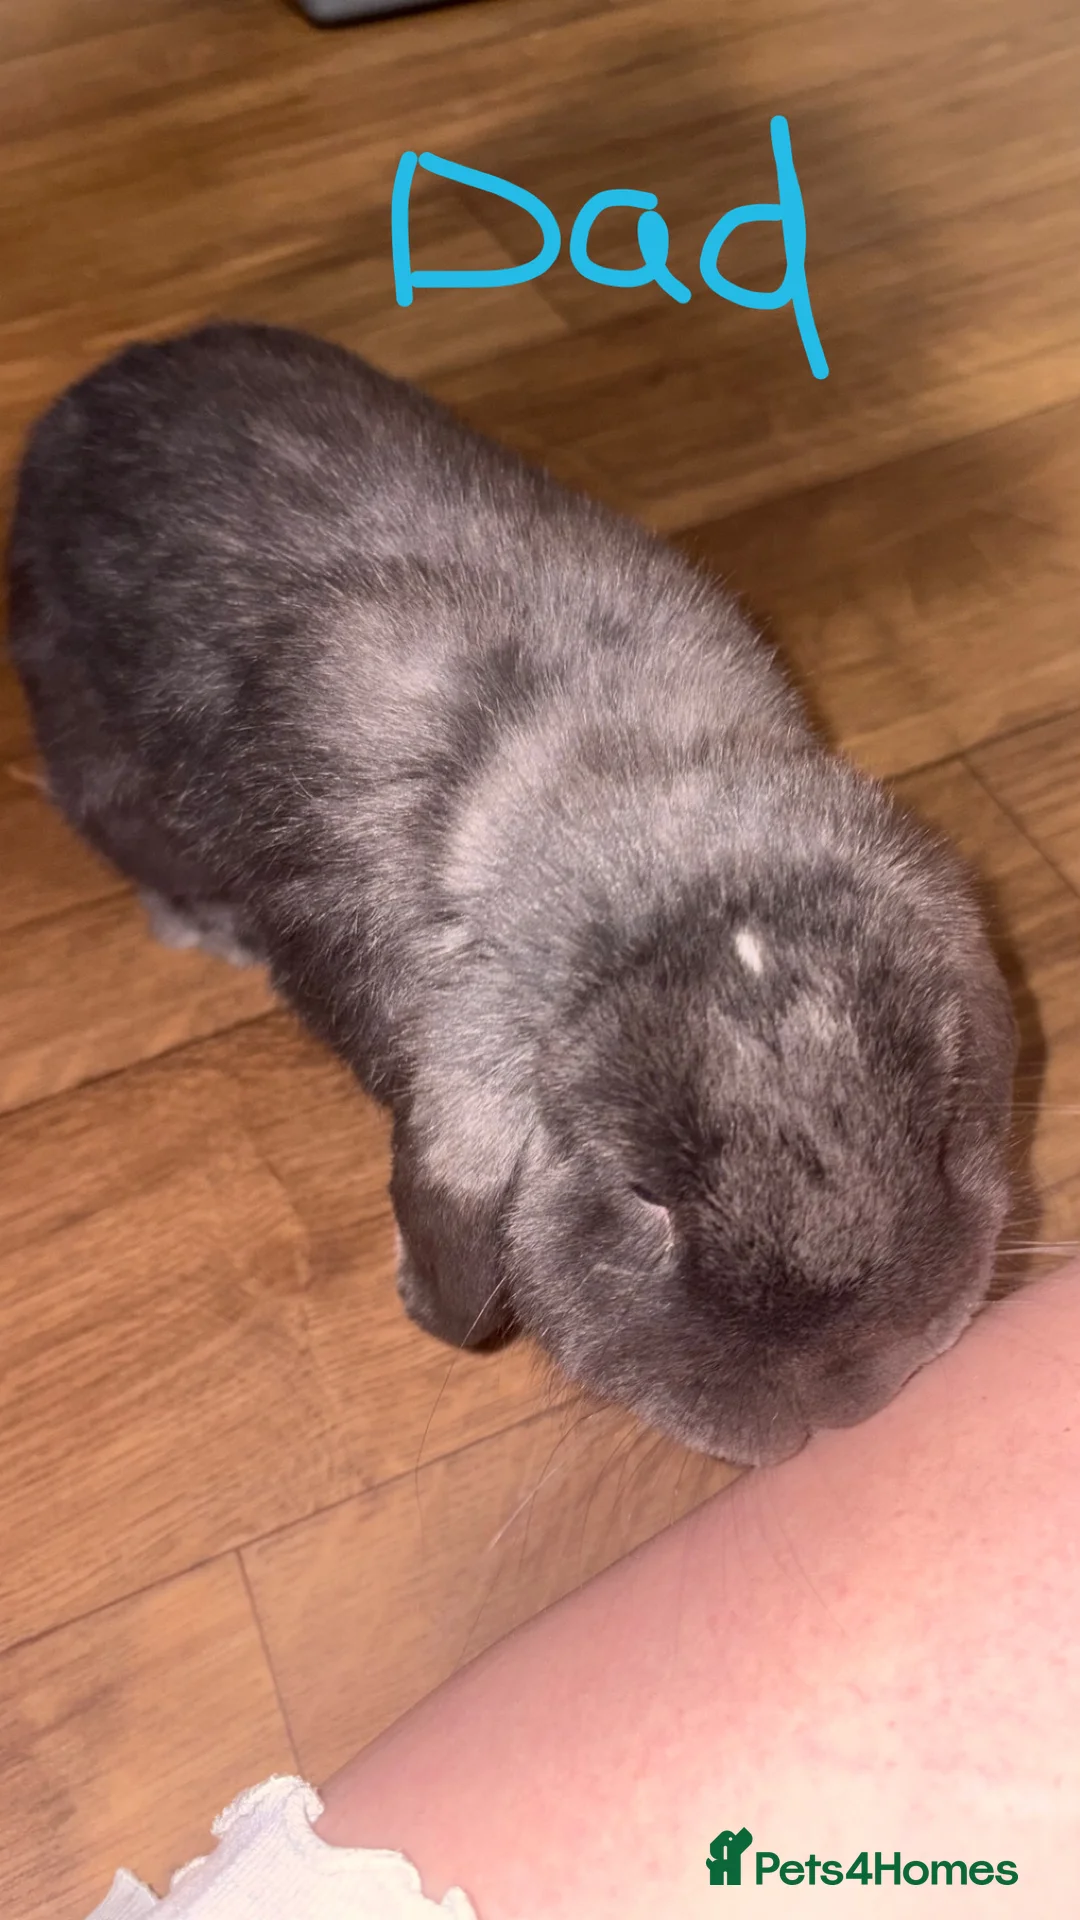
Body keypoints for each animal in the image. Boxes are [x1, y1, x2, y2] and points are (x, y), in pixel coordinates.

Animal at [5, 322, 1017, 1466]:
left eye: (939, 1121)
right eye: (641, 1196)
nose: (861, 1391)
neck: (636, 813)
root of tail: (102, 385)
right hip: (95, 747)